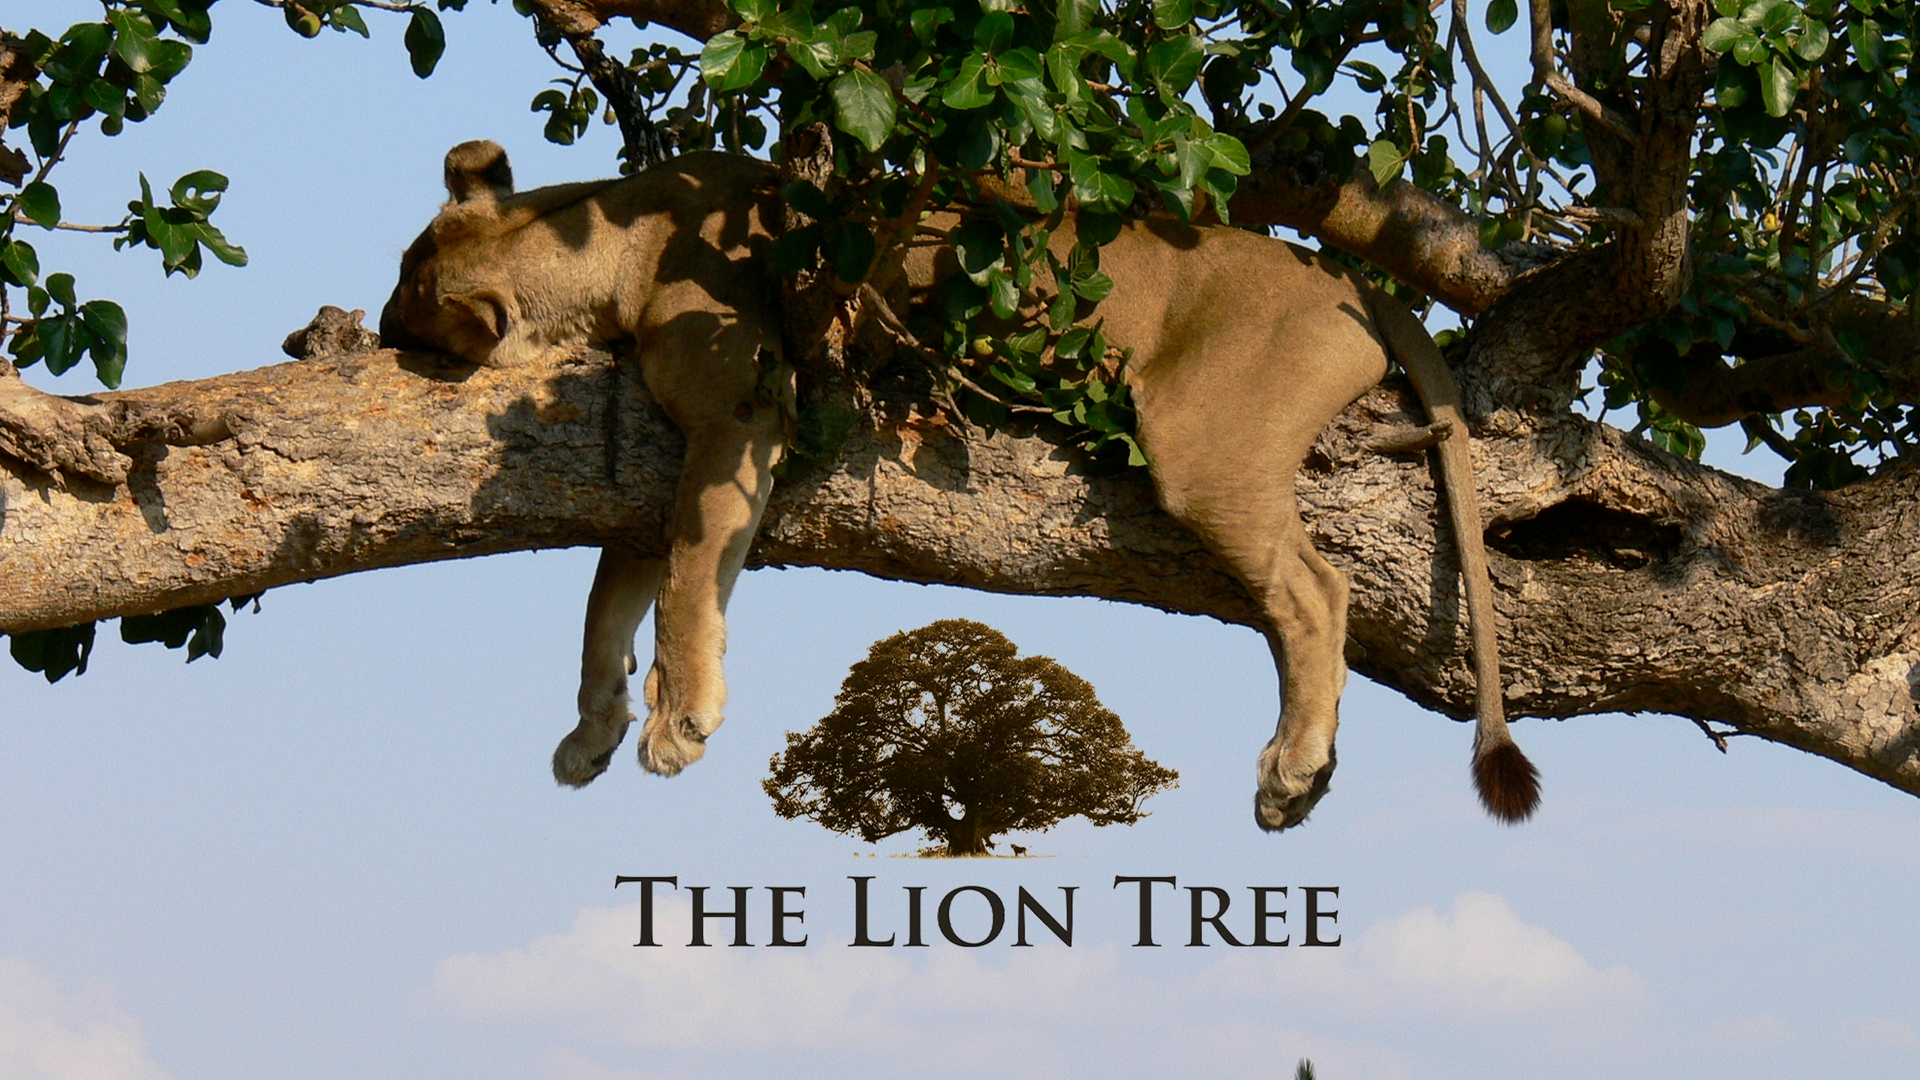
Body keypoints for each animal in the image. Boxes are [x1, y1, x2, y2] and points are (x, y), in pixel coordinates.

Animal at [380, 141, 1538, 829]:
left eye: (407, 297)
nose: (370, 330)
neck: (615, 230)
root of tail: (1352, 275)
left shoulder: (740, 414)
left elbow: (686, 577)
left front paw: (680, 722)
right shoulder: (662, 467)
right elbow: (611, 601)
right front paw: (591, 735)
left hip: (1203, 440)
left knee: (1314, 594)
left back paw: (1292, 768)